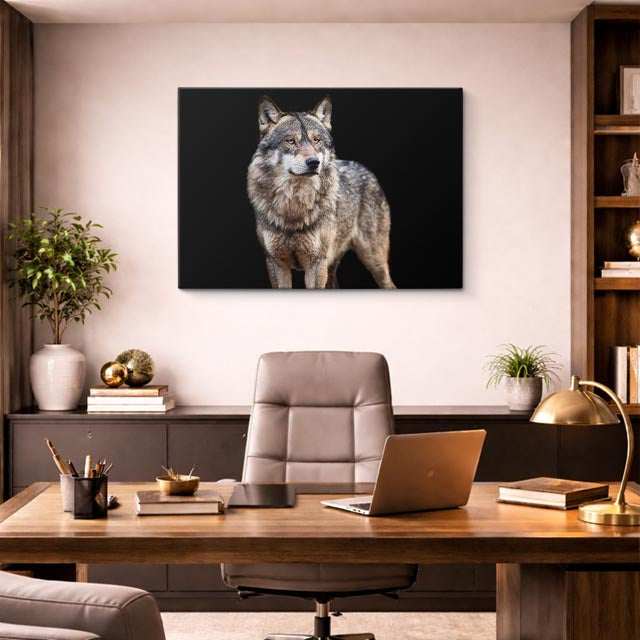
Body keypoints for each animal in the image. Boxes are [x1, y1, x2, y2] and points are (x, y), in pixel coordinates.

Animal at [247, 95, 395, 289]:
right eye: (290, 141)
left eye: (316, 140)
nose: (313, 162)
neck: (294, 206)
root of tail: (366, 170)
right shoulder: (275, 264)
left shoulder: (316, 264)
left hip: (373, 261)